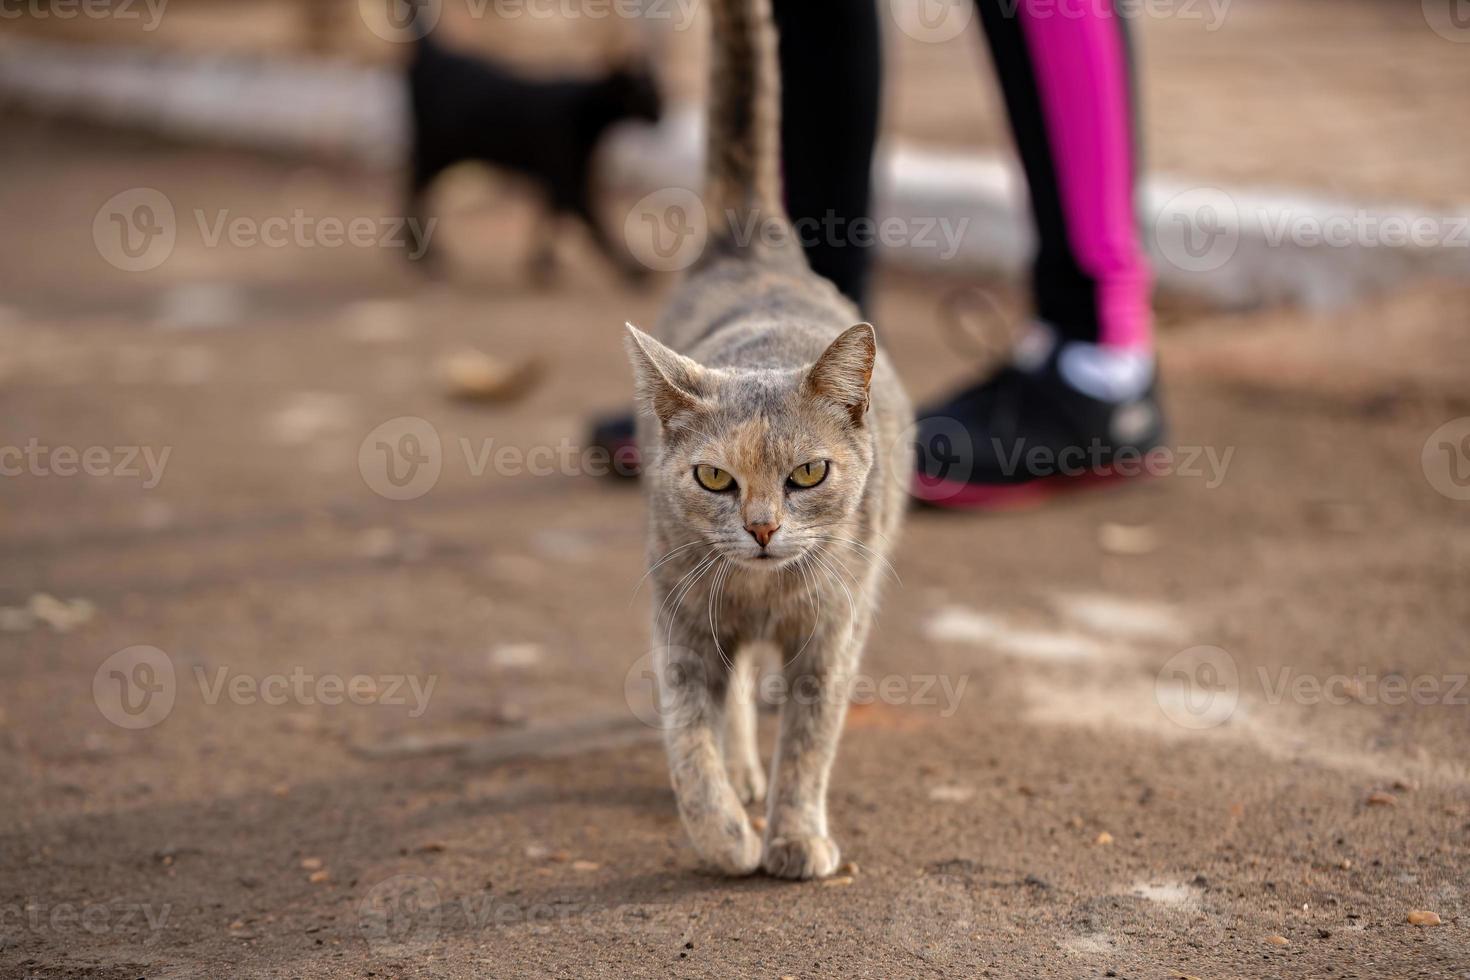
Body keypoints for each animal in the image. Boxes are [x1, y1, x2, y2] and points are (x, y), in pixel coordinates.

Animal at [414, 34, 667, 279]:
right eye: (642, 92)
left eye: (657, 87)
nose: (661, 113)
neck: (586, 115)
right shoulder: (566, 181)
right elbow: (593, 222)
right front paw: (631, 270)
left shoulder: (561, 179)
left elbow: (550, 215)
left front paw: (540, 263)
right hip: (433, 154)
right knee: (415, 193)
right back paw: (425, 254)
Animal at [626, 0, 911, 881]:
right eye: (715, 479)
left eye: (810, 473)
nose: (760, 528)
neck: (760, 596)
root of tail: (753, 242)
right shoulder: (680, 625)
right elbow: (689, 740)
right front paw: (724, 833)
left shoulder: (832, 635)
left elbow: (811, 745)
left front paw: (793, 835)